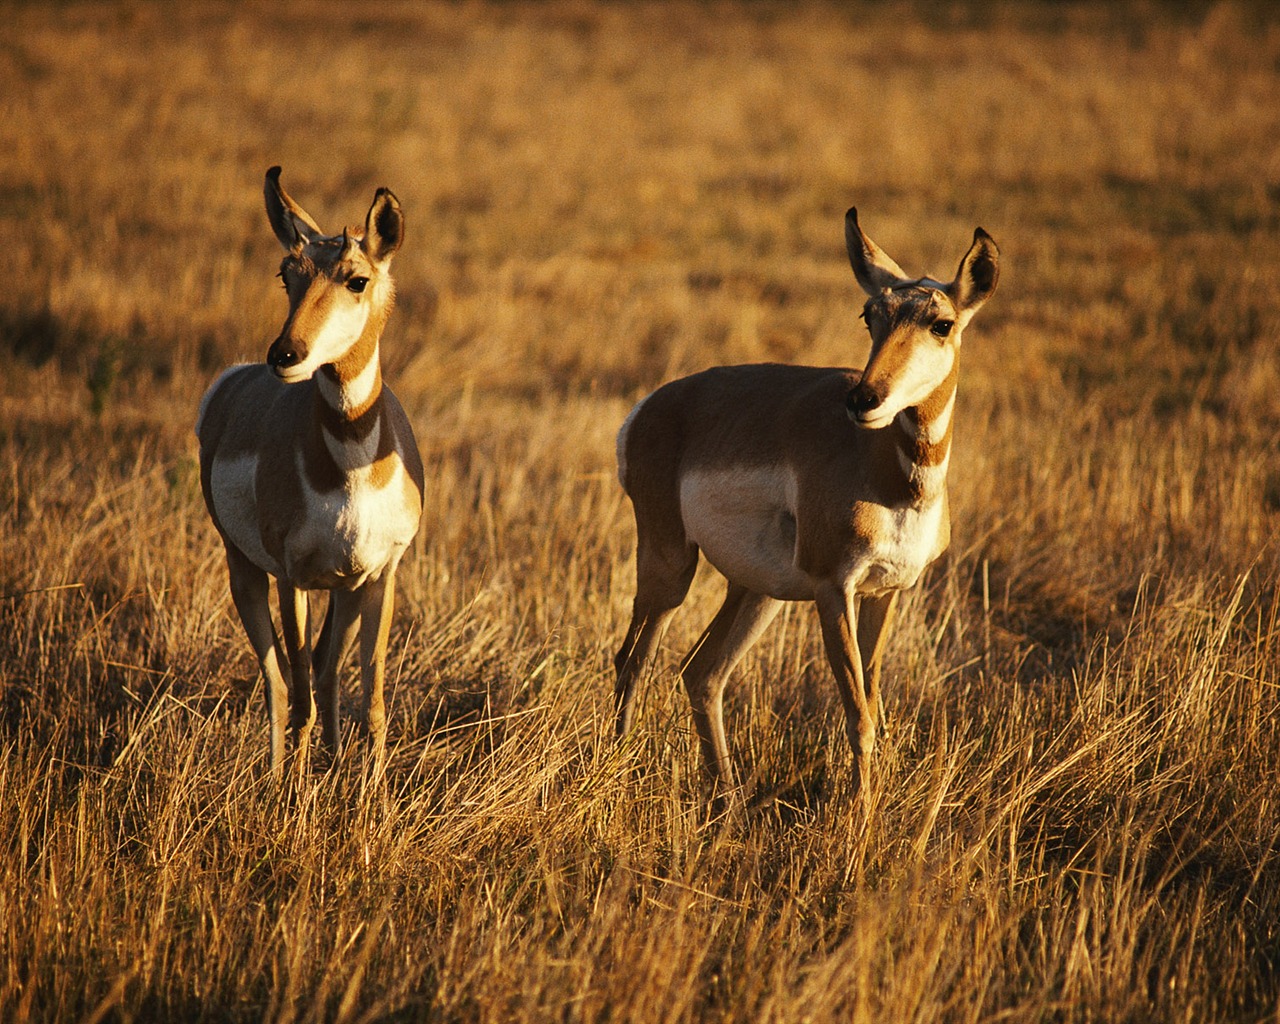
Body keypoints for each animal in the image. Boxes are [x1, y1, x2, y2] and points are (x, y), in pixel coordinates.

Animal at [194, 170, 424, 778]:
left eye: (357, 279)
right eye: (287, 273)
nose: (285, 354)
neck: (349, 474)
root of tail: (232, 381)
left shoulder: (381, 576)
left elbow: (372, 703)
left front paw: (371, 798)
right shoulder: (291, 578)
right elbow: (298, 702)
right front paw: (294, 798)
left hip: (344, 591)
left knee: (324, 671)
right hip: (245, 571)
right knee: (280, 685)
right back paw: (278, 780)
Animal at [611, 206, 998, 798]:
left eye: (941, 323)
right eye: (870, 314)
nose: (863, 398)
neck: (887, 474)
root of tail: (652, 406)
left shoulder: (886, 593)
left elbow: (873, 704)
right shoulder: (833, 589)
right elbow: (858, 717)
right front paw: (859, 820)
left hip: (757, 592)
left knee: (702, 672)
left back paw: (729, 800)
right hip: (671, 568)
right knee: (632, 661)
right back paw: (613, 774)